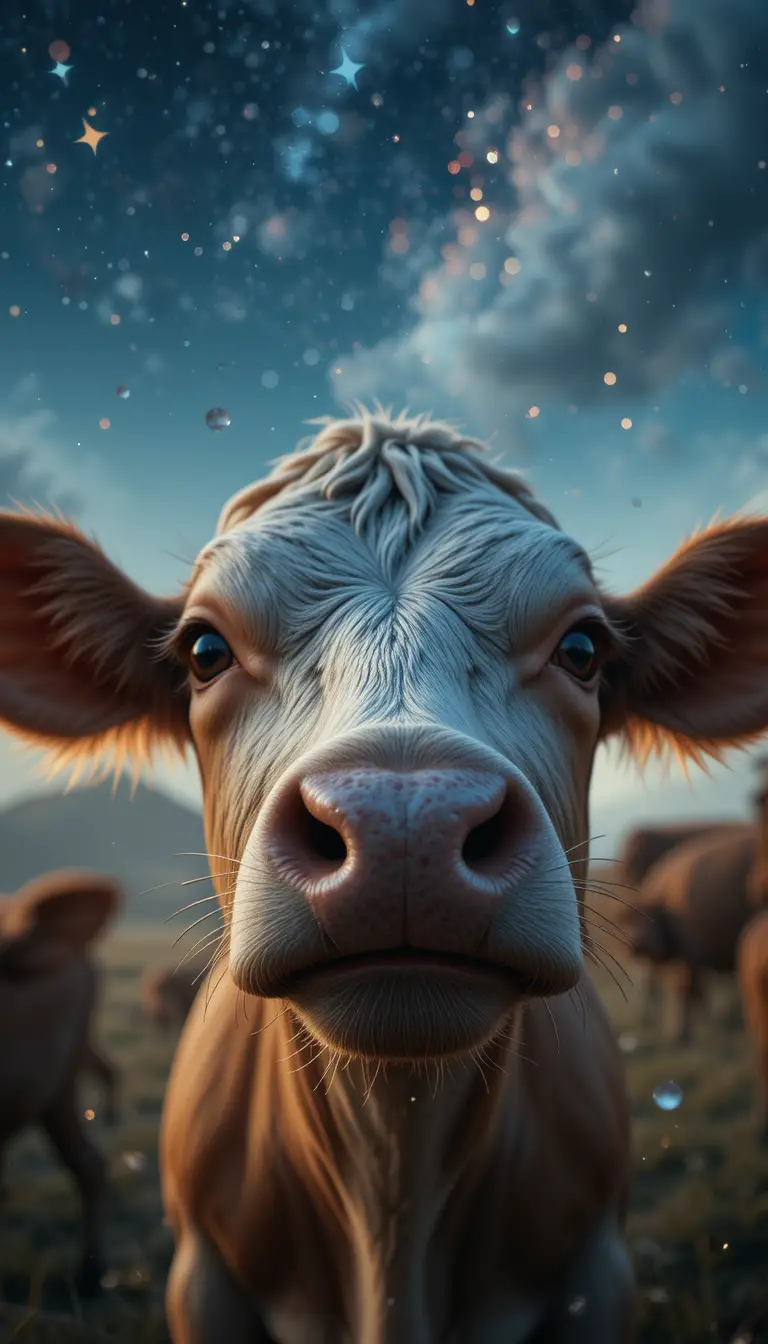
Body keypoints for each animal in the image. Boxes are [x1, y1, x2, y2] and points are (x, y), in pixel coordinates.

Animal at [622, 827, 757, 1043]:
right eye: (625, 921)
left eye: (648, 918)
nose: (636, 943)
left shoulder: (691, 958)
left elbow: (685, 993)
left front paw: (681, 1033)